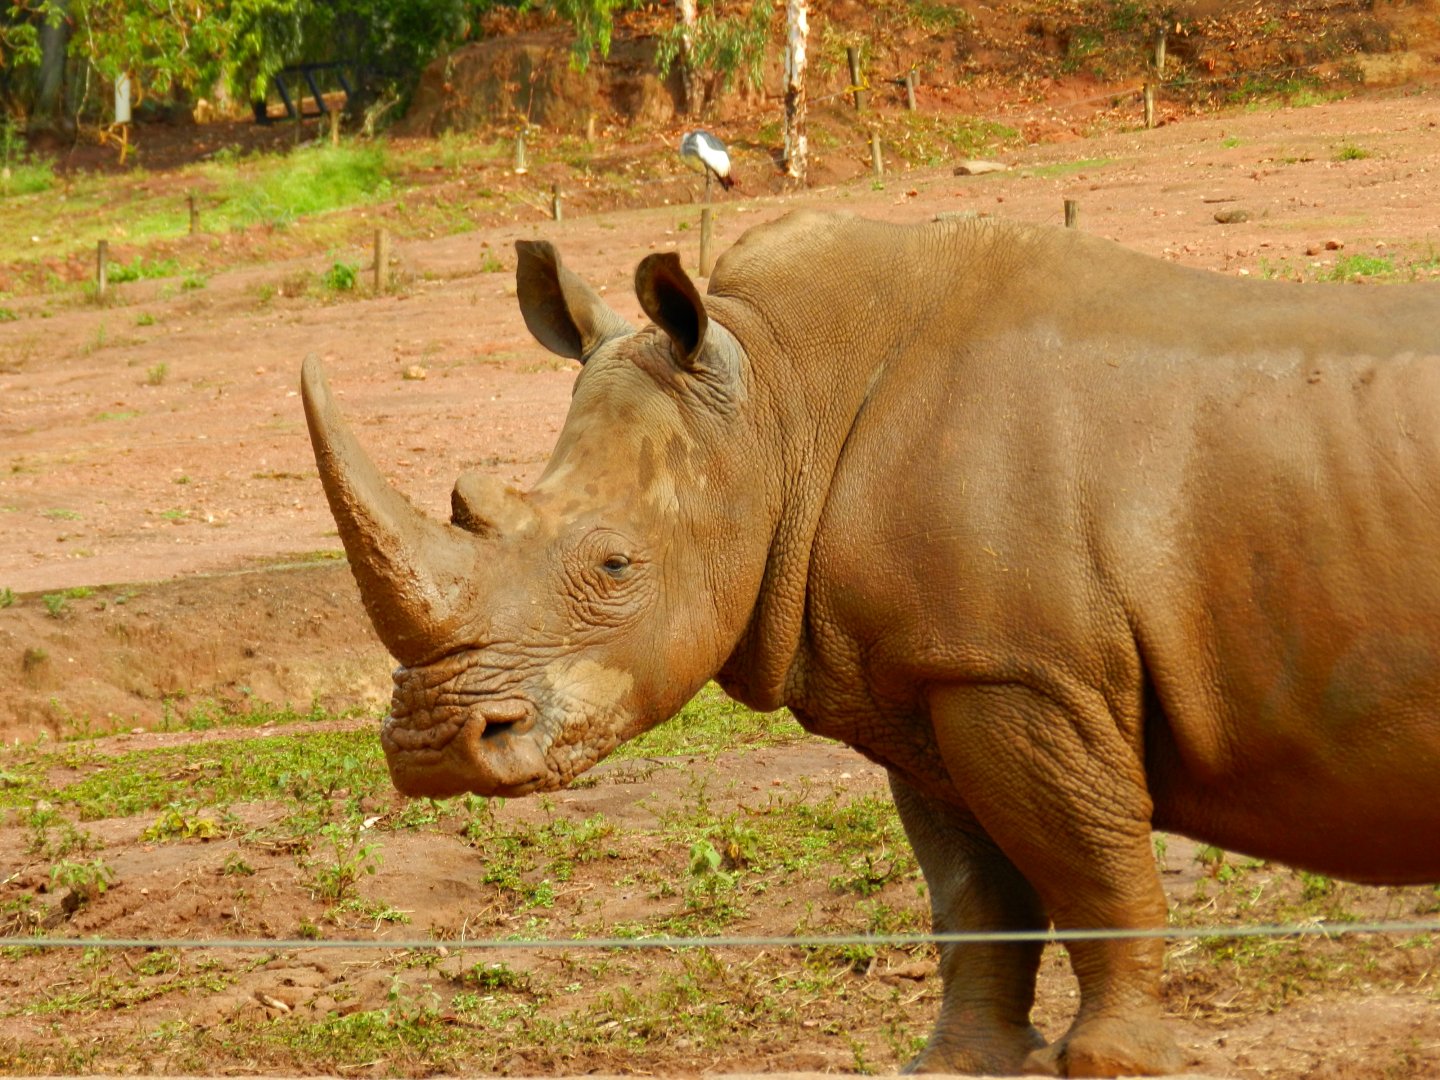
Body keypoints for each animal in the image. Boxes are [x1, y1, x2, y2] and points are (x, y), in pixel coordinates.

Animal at [302, 210, 1440, 1078]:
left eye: (617, 567)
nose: (434, 748)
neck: (776, 398)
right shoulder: (935, 676)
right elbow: (975, 894)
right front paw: (956, 1064)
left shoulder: (1025, 673)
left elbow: (1092, 870)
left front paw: (1114, 1061)